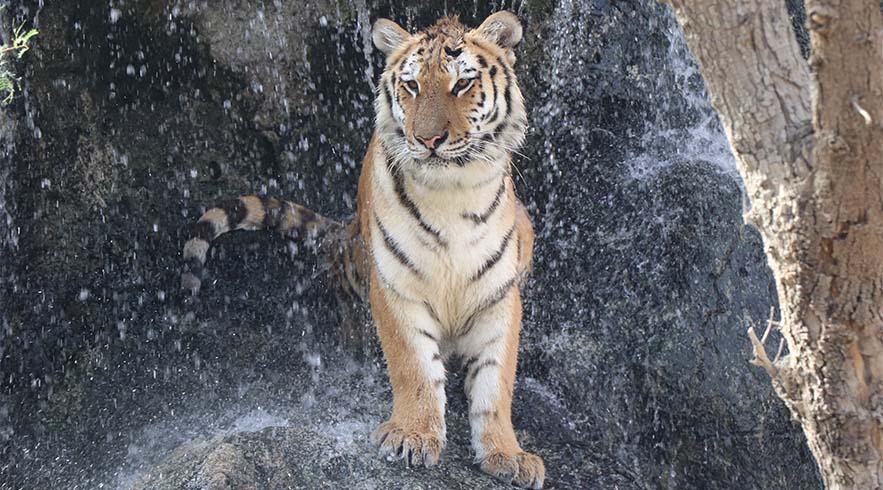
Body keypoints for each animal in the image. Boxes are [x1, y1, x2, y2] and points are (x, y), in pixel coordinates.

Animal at [180, 12, 544, 489]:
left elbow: (495, 384)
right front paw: (413, 435)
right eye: (412, 86)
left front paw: (508, 454)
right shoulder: (396, 287)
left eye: (462, 84)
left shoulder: (499, 297)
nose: (428, 140)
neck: (453, 193)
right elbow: (414, 366)